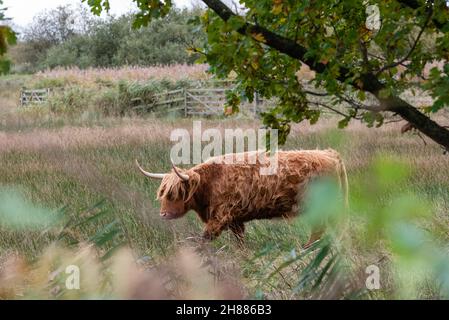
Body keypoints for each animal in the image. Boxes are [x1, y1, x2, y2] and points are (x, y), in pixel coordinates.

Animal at [136, 149, 346, 246]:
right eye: (162, 194)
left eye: (175, 194)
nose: (163, 214)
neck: (210, 183)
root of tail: (329, 154)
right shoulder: (235, 219)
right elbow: (240, 240)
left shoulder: (220, 216)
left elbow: (205, 238)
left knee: (321, 229)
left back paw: (307, 248)